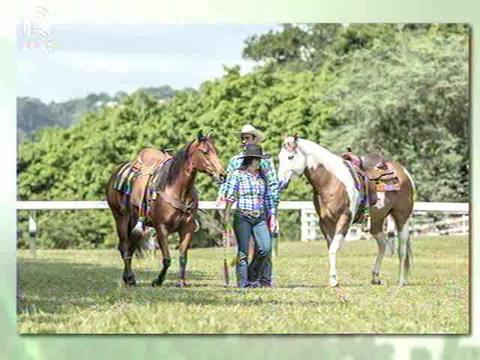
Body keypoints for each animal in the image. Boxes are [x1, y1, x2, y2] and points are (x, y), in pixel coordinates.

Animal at [106, 132, 226, 286]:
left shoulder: (187, 229)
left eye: (216, 151)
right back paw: (129, 278)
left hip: (134, 222)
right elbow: (167, 259)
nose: (222, 175)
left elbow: (183, 257)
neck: (175, 189)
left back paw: (130, 278)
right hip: (121, 218)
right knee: (124, 247)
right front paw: (158, 280)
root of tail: (116, 173)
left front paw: (182, 282)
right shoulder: (161, 229)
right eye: (204, 152)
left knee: (131, 247)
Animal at [278, 135, 416, 286]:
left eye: (290, 157)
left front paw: (333, 280)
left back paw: (401, 281)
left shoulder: (345, 219)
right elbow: (330, 248)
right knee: (383, 244)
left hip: (402, 218)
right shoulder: (324, 223)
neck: (331, 181)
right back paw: (375, 277)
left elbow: (333, 248)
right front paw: (333, 279)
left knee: (402, 249)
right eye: (279, 157)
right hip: (376, 221)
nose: (280, 183)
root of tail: (403, 172)